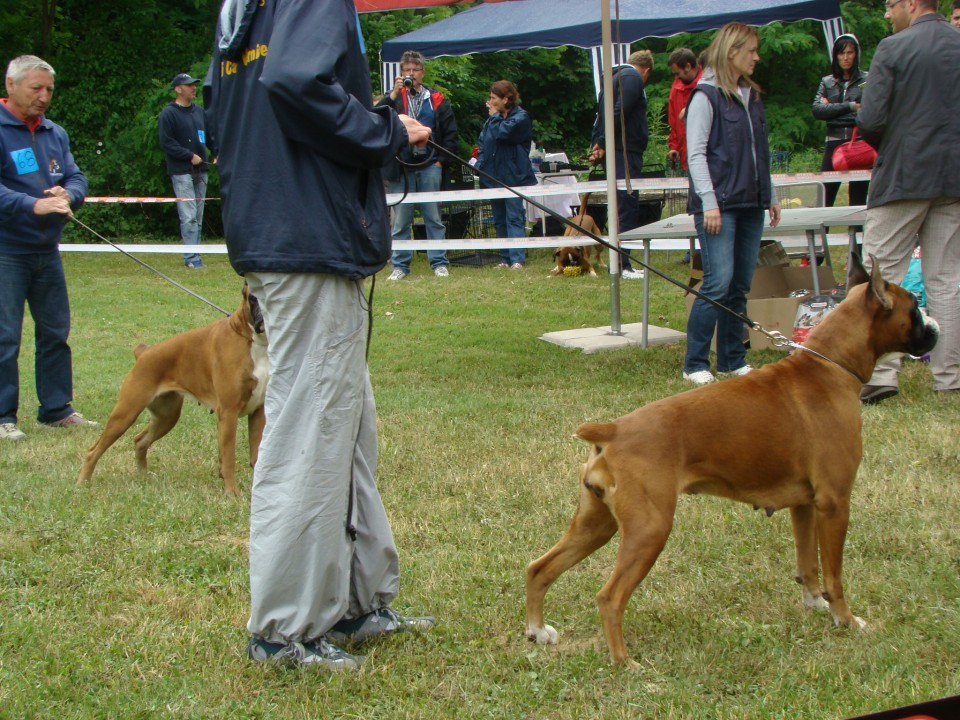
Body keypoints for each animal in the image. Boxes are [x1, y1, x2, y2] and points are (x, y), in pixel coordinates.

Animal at [77, 284, 266, 498]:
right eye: (253, 297)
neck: (252, 339)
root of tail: (144, 352)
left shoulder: (258, 412)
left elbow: (256, 455)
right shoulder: (228, 412)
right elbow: (228, 457)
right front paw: (231, 493)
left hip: (167, 416)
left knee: (140, 440)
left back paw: (143, 476)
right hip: (125, 414)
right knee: (94, 450)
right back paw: (83, 482)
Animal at [524, 255, 936, 668]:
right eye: (915, 308)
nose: (934, 327)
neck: (829, 366)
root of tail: (613, 430)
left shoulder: (804, 505)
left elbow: (808, 564)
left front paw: (814, 604)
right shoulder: (835, 503)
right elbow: (834, 575)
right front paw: (846, 620)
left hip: (597, 524)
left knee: (539, 568)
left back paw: (538, 632)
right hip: (649, 530)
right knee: (609, 597)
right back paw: (627, 663)